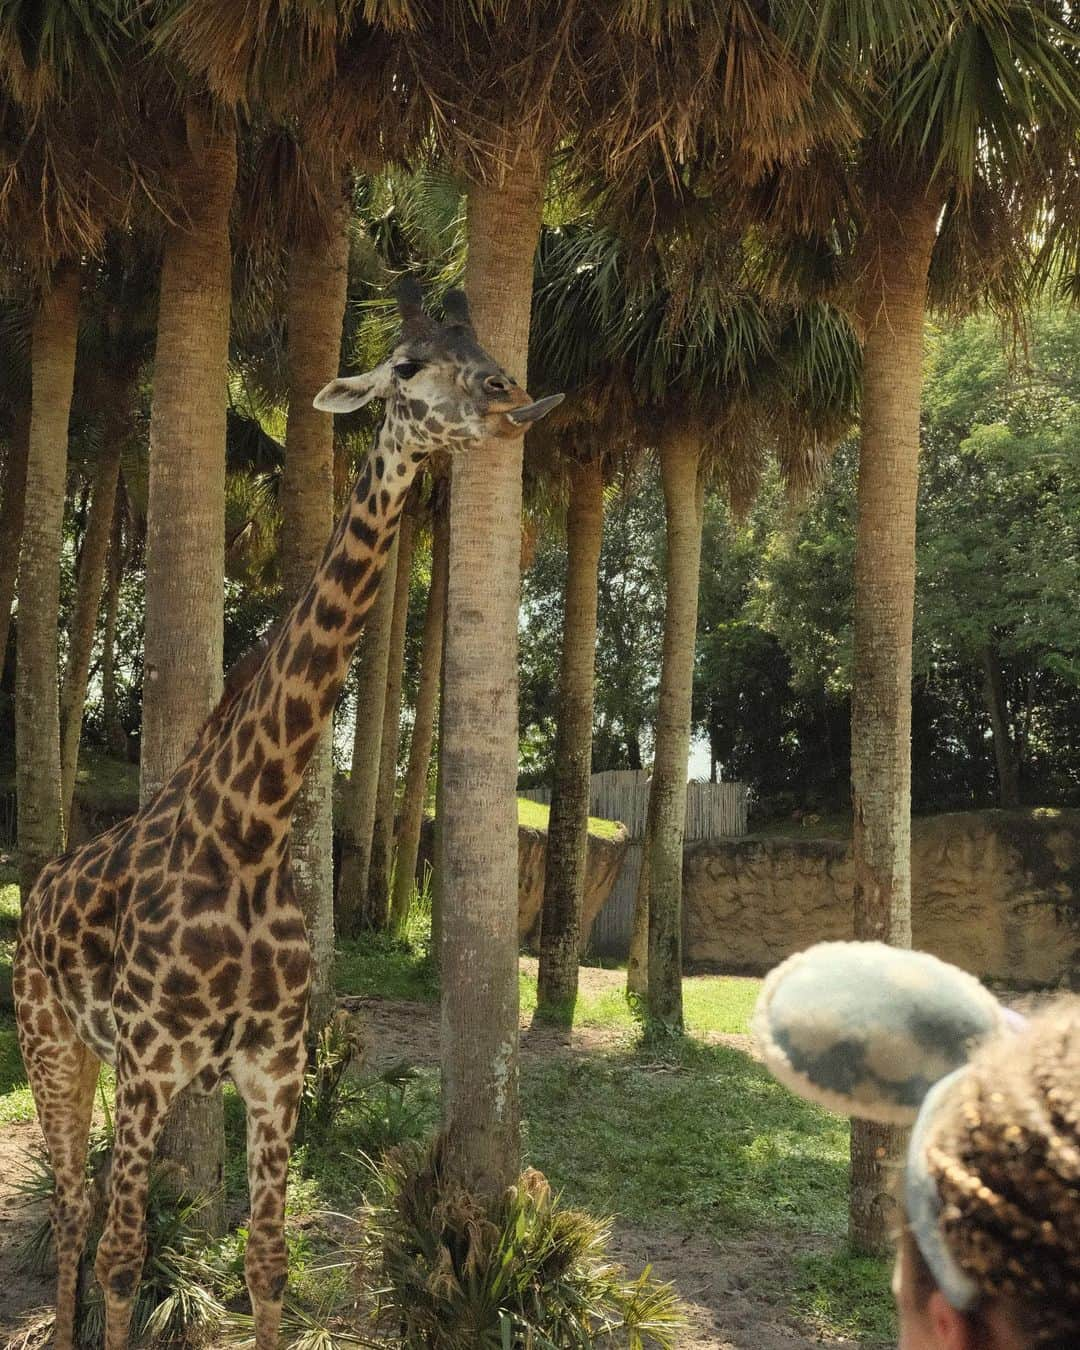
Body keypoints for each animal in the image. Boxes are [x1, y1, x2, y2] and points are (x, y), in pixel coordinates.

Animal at [12, 282, 561, 1350]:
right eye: (404, 366)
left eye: (482, 346)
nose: (510, 398)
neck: (253, 834)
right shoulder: (152, 1069)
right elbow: (128, 1256)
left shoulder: (274, 1072)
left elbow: (267, 1261)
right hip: (49, 1040)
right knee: (73, 1210)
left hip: (92, 1058)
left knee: (81, 1207)